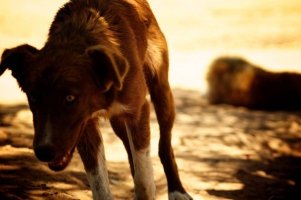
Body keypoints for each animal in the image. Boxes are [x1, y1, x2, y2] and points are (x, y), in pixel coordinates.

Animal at [0, 0, 191, 199]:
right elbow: (99, 184)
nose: (44, 152)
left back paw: (177, 191)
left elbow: (144, 178)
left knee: (164, 147)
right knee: (131, 152)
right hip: (118, 122)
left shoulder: (137, 111)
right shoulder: (86, 124)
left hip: (161, 92)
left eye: (70, 97)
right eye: (33, 97)